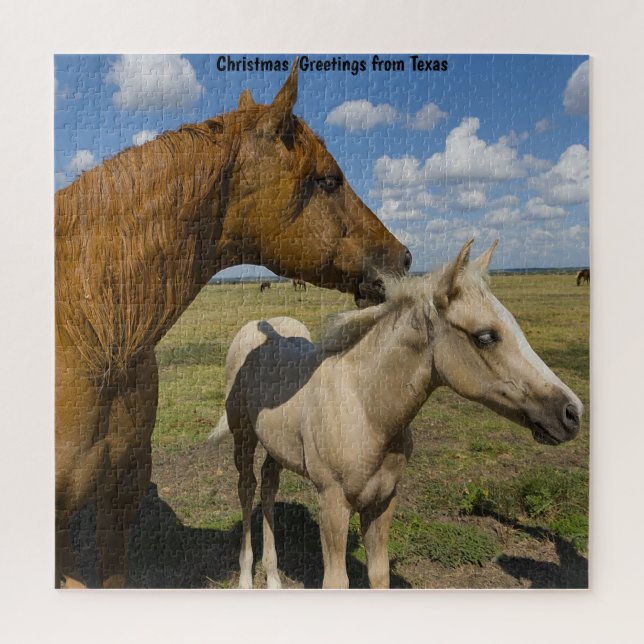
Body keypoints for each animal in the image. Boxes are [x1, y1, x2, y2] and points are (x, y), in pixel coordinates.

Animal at [209, 239, 583, 589]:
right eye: (486, 336)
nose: (571, 413)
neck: (366, 409)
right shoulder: (332, 503)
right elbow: (336, 581)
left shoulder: (383, 501)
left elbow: (379, 574)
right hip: (243, 436)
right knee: (247, 487)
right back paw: (246, 578)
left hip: (276, 446)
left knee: (269, 485)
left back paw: (273, 577)